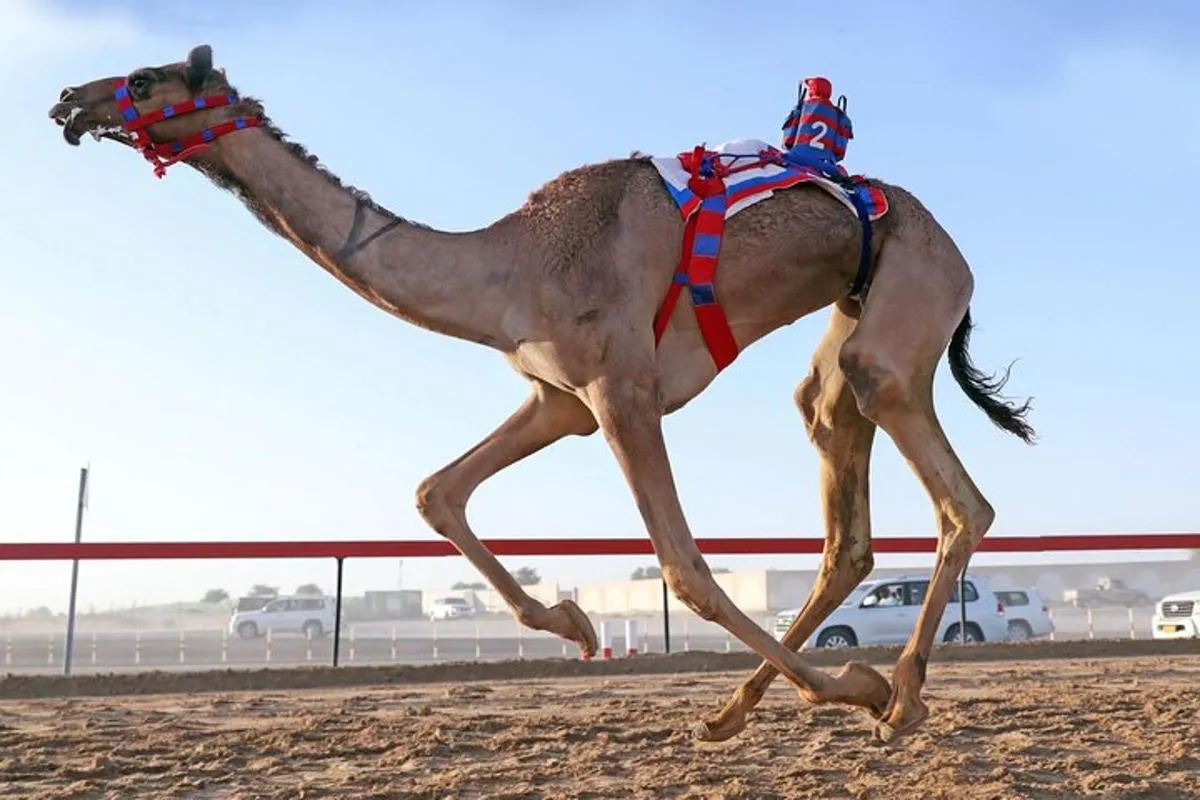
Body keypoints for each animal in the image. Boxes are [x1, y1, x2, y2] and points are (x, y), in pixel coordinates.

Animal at [47, 45, 1035, 744]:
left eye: (144, 78)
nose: (66, 101)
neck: (513, 264)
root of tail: (959, 253)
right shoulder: (560, 399)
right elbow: (436, 491)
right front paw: (569, 620)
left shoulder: (623, 389)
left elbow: (686, 567)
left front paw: (853, 685)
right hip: (849, 326)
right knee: (842, 497)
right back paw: (741, 710)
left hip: (910, 300)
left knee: (953, 491)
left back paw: (894, 697)